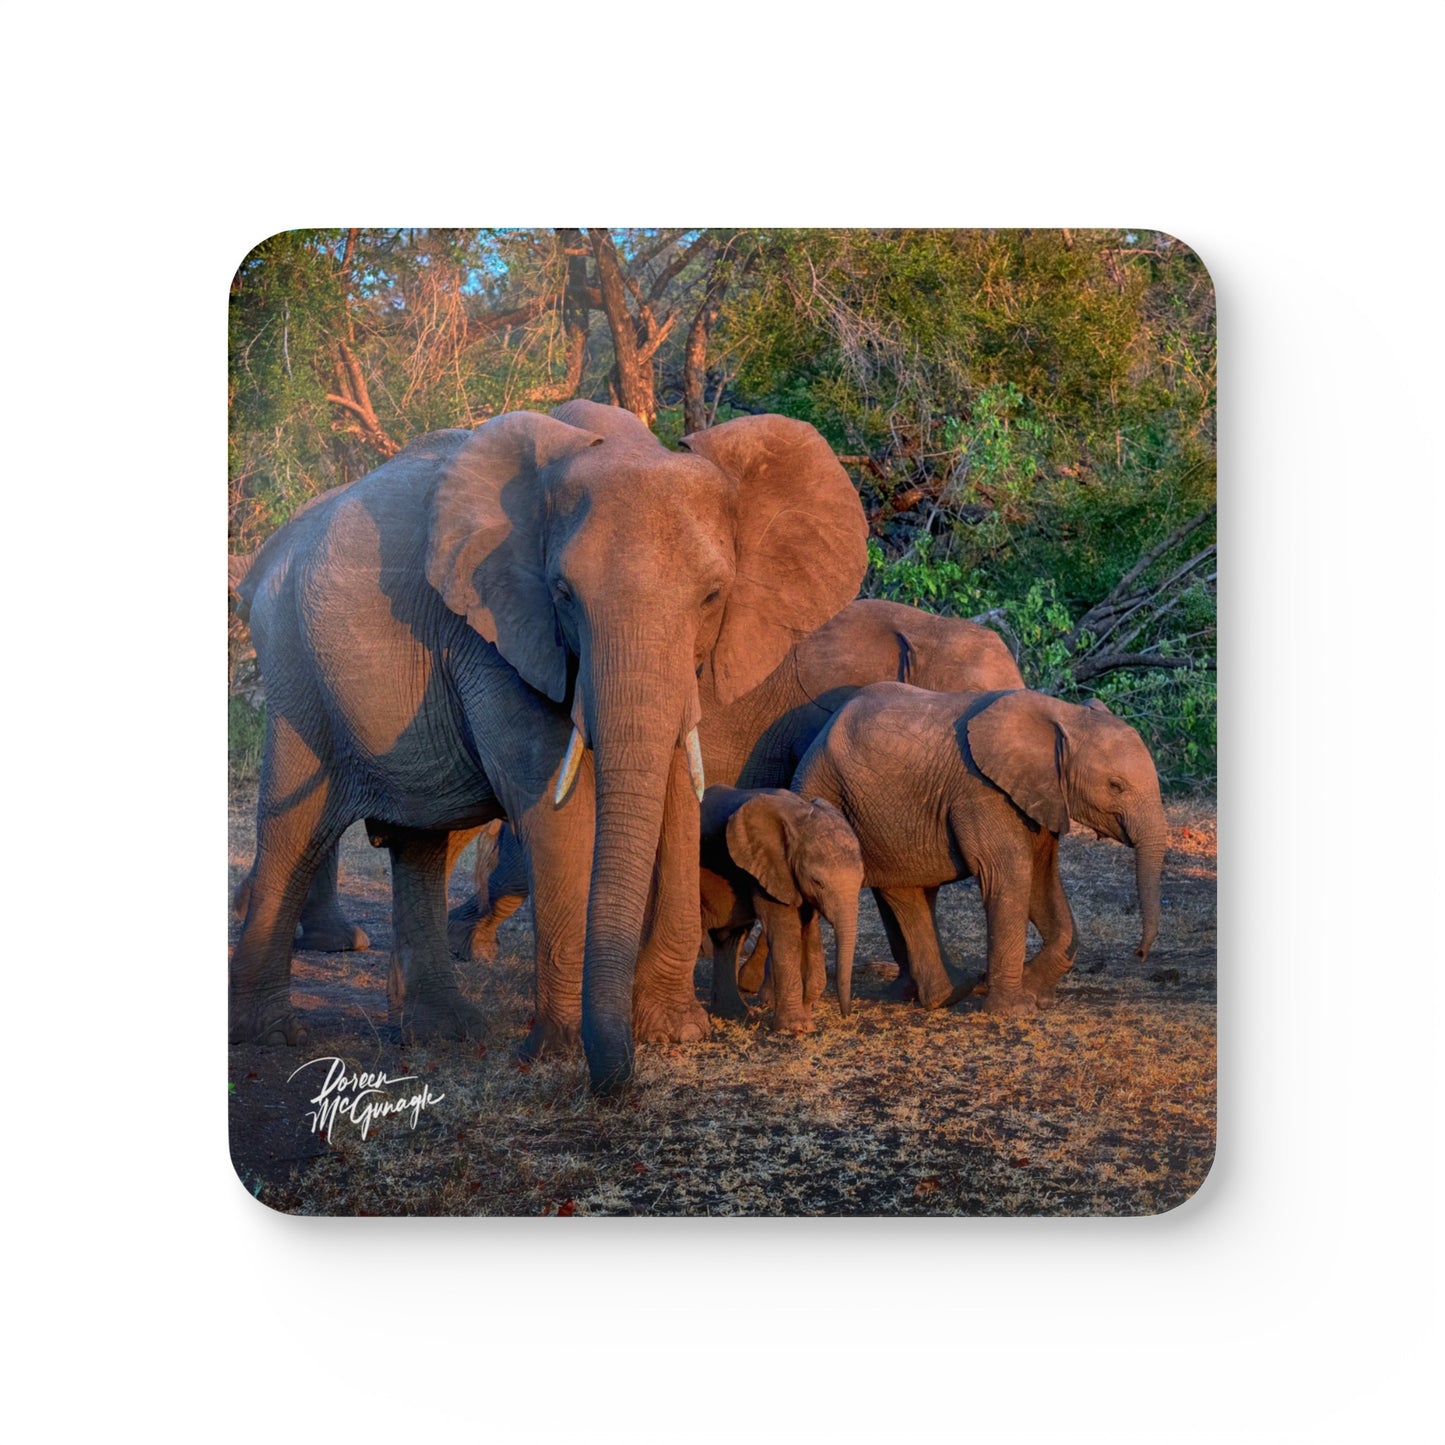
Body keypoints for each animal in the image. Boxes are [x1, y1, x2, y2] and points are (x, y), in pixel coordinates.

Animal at [698, 786, 864, 1032]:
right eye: (818, 882)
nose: (847, 1014)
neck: (797, 815)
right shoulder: (768, 868)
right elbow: (786, 932)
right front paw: (797, 1028)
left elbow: (809, 930)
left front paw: (807, 1014)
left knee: (729, 939)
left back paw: (737, 1014)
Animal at [792, 684, 1166, 1016]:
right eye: (1115, 786)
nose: (1139, 953)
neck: (1063, 715)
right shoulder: (983, 791)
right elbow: (1010, 874)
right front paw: (1014, 1010)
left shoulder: (1041, 795)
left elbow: (1042, 879)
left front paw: (1034, 993)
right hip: (831, 791)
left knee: (905, 891)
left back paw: (948, 992)